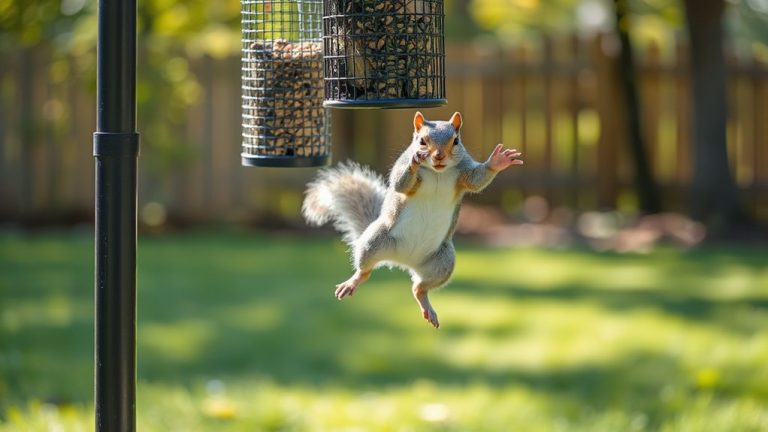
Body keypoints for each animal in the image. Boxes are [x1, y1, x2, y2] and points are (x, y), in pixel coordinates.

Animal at [302, 111, 523, 328]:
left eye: (456, 141)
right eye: (422, 141)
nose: (439, 156)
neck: (437, 172)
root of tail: (404, 260)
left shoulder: (464, 171)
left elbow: (477, 180)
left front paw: (497, 161)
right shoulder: (402, 167)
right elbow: (400, 183)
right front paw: (415, 161)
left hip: (443, 262)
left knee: (419, 287)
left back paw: (424, 301)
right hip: (374, 241)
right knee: (365, 270)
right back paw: (353, 281)